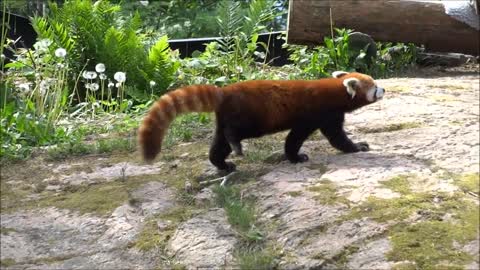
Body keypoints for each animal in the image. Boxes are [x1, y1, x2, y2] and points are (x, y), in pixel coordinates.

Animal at [137, 70, 384, 172]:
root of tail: (224, 91)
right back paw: (236, 146)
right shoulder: (316, 113)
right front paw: (296, 157)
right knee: (233, 133)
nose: (384, 89)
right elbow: (305, 137)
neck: (332, 91)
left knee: (219, 144)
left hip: (225, 118)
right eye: (374, 86)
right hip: (251, 116)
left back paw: (223, 164)